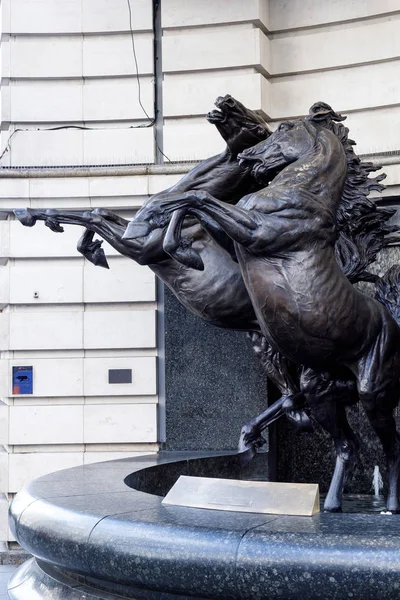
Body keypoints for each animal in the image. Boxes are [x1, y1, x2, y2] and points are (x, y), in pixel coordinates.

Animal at [126, 109, 400, 510]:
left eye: (283, 127)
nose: (245, 157)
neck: (302, 191)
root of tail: (392, 321)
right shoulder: (232, 239)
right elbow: (194, 203)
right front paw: (170, 235)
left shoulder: (257, 231)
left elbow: (197, 198)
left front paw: (175, 241)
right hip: (323, 389)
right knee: (347, 444)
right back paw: (330, 502)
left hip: (373, 393)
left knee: (391, 447)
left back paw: (389, 506)